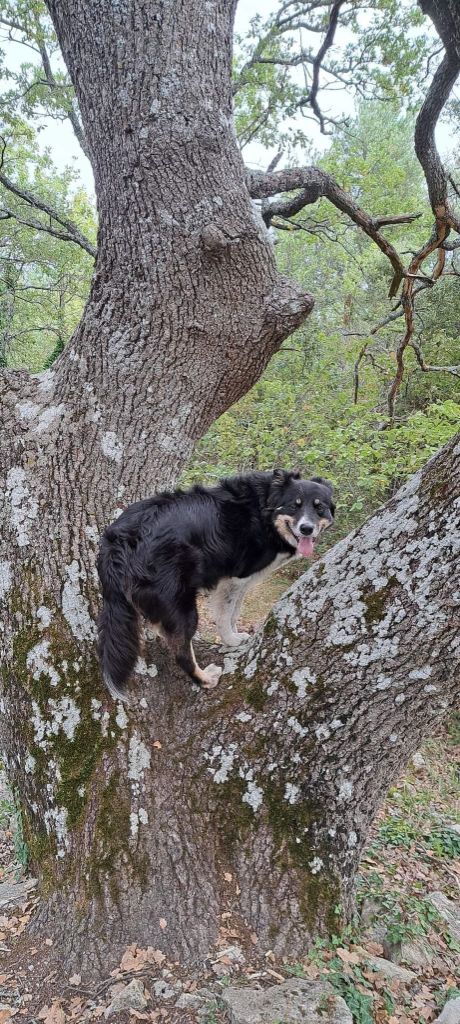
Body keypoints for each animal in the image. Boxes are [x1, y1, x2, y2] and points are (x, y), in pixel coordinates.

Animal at [96, 468, 333, 700]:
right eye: (294, 505)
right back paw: (205, 679)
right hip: (180, 602)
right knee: (181, 652)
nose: (306, 529)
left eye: (319, 508)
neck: (264, 508)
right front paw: (231, 640)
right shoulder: (234, 579)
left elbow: (235, 612)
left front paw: (236, 634)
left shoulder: (242, 582)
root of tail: (120, 541)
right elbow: (225, 614)